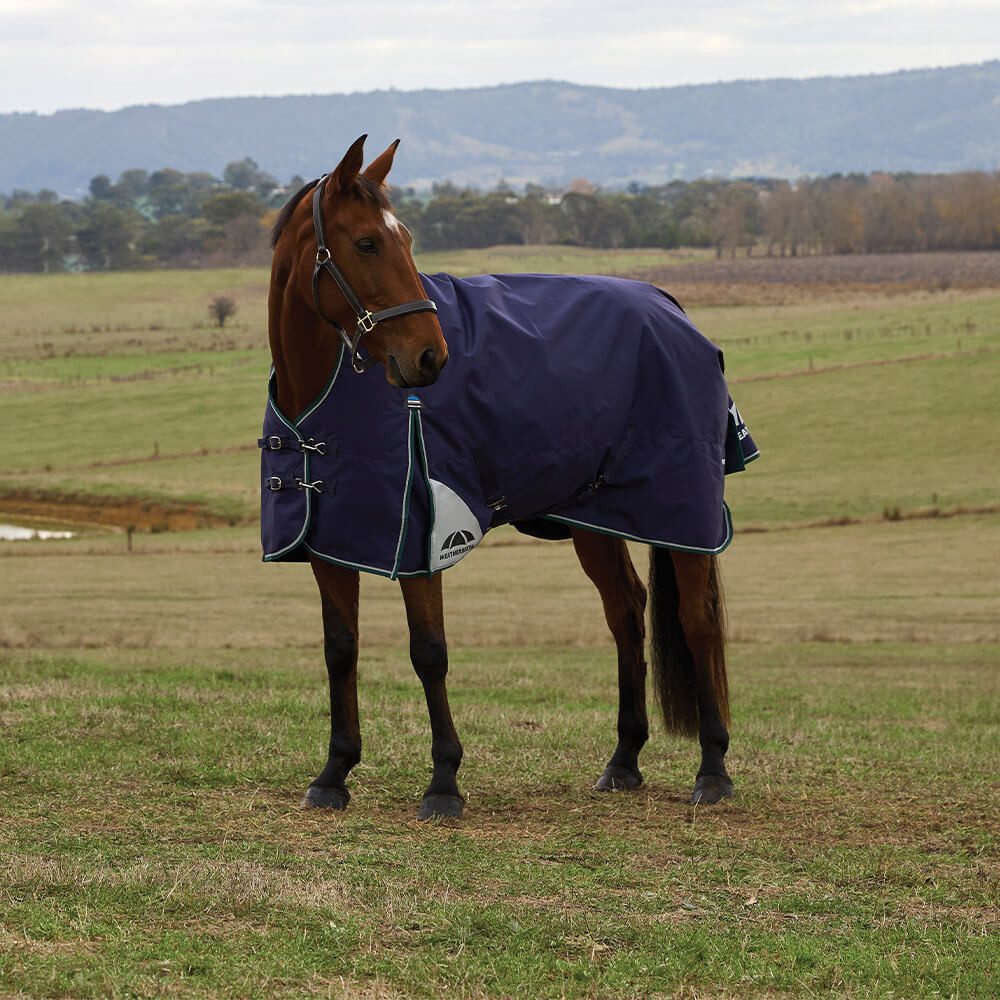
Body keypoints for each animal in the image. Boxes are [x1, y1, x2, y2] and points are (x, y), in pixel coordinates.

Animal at [265, 135, 739, 820]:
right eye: (367, 243)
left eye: (406, 238)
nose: (430, 356)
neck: (323, 398)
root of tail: (669, 306)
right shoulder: (332, 543)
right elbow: (340, 650)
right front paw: (334, 773)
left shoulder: (422, 540)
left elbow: (429, 652)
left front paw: (443, 782)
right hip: (596, 519)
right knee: (626, 613)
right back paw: (624, 760)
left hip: (681, 512)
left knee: (696, 621)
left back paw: (713, 770)